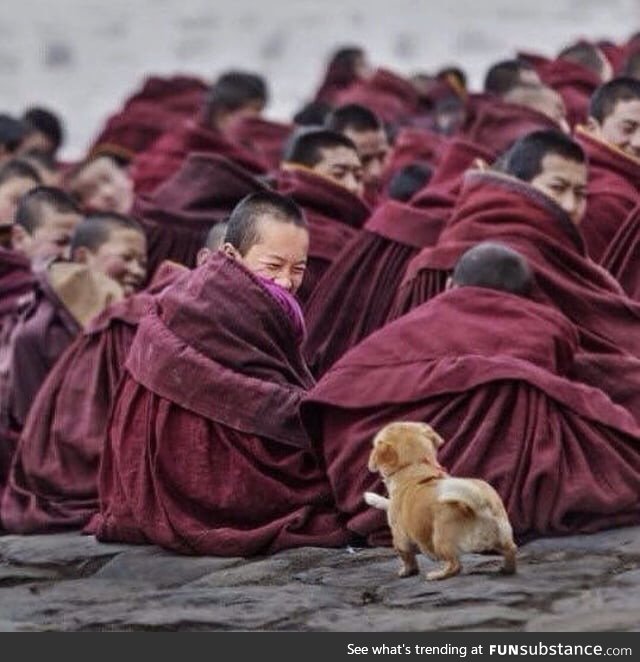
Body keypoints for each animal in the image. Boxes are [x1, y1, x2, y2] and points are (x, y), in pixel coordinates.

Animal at [362, 426, 516, 580]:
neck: (416, 466)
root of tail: (480, 508)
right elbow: (386, 502)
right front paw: (373, 498)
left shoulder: (400, 536)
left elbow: (407, 557)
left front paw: (407, 571)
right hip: (502, 536)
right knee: (511, 550)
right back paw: (507, 569)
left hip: (440, 540)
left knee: (455, 565)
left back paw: (437, 575)